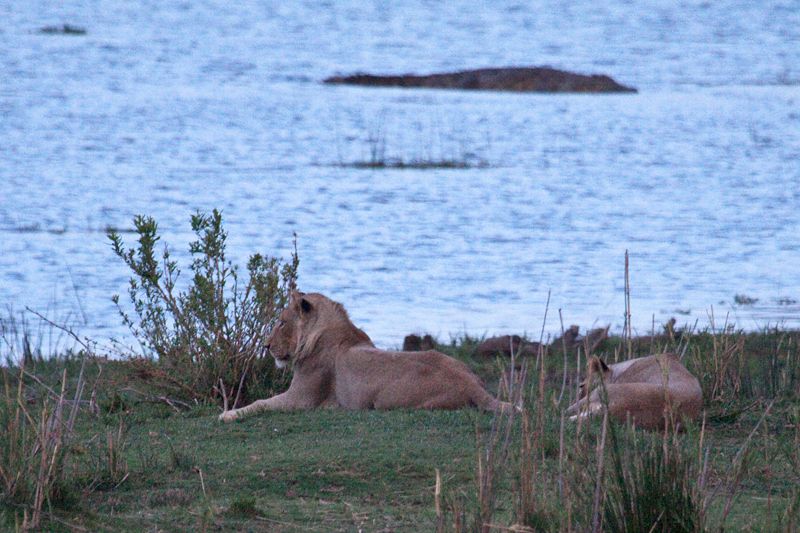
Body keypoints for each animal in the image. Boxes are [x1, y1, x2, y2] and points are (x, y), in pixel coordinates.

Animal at [219, 290, 510, 420]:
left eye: (281, 322)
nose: (266, 346)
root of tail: (473, 385)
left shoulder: (302, 398)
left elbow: (260, 403)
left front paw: (227, 414)